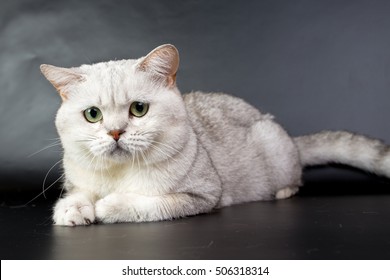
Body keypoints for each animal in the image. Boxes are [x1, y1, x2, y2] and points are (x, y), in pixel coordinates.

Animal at [40, 44, 390, 226]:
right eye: (93, 115)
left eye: (139, 109)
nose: (115, 132)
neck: (119, 173)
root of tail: (290, 139)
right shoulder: (79, 181)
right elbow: (79, 195)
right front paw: (73, 209)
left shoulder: (201, 195)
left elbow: (143, 204)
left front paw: (107, 207)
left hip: (272, 145)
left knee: (294, 178)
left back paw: (283, 191)